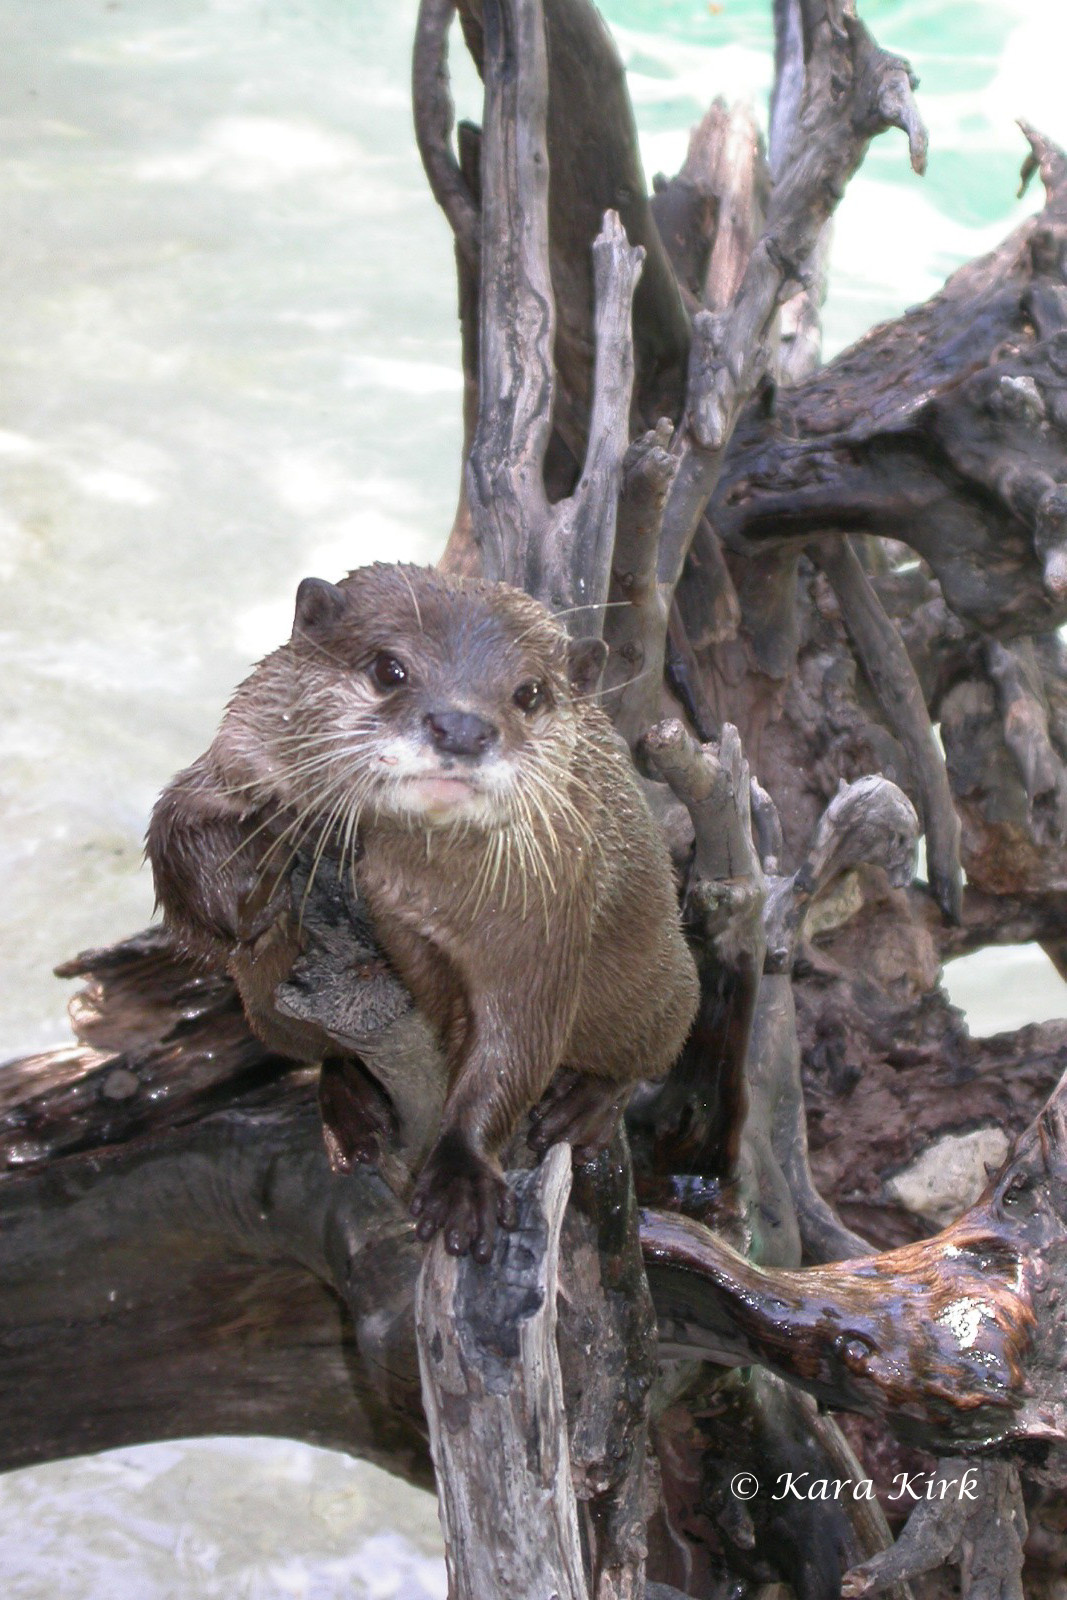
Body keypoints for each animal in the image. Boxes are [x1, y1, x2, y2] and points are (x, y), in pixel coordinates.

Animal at [148, 563, 699, 1260]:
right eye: (390, 669)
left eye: (529, 693)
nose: (461, 728)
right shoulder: (239, 746)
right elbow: (175, 825)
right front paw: (258, 867)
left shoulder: (546, 915)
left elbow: (516, 1037)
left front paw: (462, 1178)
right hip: (263, 1008)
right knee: (310, 1044)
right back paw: (350, 1108)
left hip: (661, 977)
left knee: (658, 1039)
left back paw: (586, 1104)